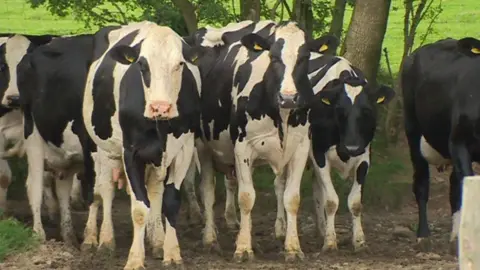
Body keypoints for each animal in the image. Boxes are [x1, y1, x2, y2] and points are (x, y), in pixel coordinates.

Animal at [7, 32, 96, 246]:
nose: (13, 99)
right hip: (33, 136)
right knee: (34, 184)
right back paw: (39, 234)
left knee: (62, 188)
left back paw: (69, 236)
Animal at [81, 20, 202, 268]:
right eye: (142, 64)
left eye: (180, 64)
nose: (160, 107)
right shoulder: (131, 152)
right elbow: (138, 208)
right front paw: (135, 259)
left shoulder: (183, 149)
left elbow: (170, 202)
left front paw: (171, 253)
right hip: (99, 150)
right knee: (102, 191)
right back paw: (100, 239)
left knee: (154, 192)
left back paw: (157, 240)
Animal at [182, 20, 340, 262]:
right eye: (273, 56)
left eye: (304, 57)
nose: (288, 97)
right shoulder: (243, 148)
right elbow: (246, 198)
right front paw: (243, 249)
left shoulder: (300, 148)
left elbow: (292, 198)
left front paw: (293, 248)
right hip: (203, 147)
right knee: (207, 191)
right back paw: (210, 239)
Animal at [402, 36, 480, 253]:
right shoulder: (458, 142)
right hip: (412, 128)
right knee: (421, 183)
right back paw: (423, 236)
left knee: (454, 186)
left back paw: (455, 236)